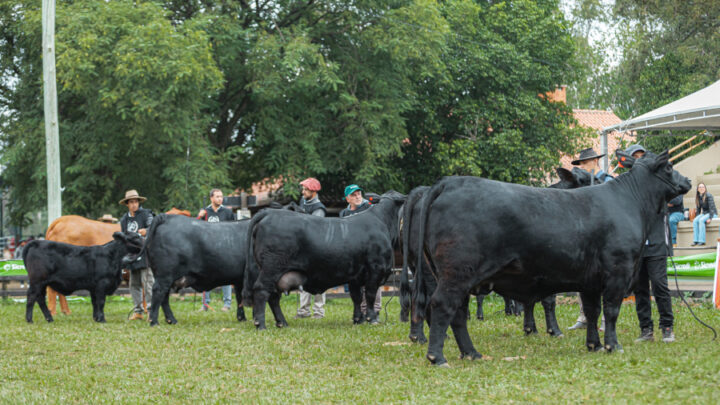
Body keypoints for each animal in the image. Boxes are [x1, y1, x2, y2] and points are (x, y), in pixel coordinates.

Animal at [245, 189, 404, 328]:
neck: (383, 222)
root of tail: (269, 213)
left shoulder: (355, 275)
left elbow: (357, 298)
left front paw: (358, 319)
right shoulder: (376, 269)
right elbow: (370, 295)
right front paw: (372, 319)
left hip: (274, 272)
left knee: (273, 296)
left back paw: (282, 323)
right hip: (272, 267)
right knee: (262, 290)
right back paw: (261, 324)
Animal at [400, 167, 592, 344]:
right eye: (588, 178)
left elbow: (529, 301)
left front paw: (530, 329)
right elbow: (548, 300)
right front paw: (553, 330)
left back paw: (420, 335)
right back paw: (428, 336)